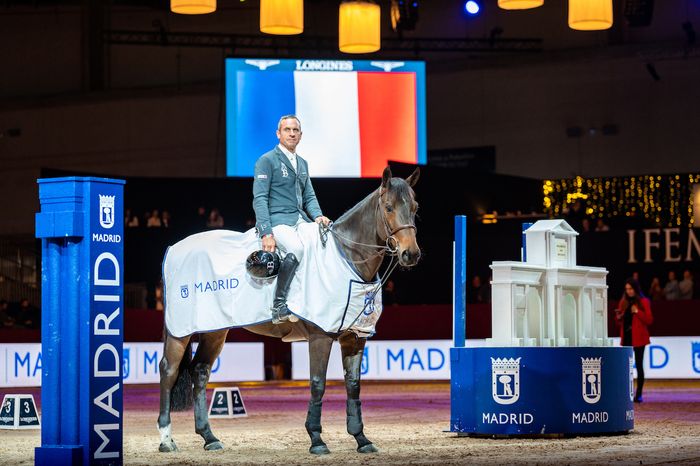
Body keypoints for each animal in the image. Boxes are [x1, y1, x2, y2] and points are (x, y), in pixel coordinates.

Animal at [157, 167, 422, 456]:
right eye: (388, 207)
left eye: (415, 208)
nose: (410, 254)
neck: (346, 258)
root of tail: (173, 249)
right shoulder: (320, 337)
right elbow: (317, 383)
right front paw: (316, 439)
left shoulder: (354, 337)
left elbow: (353, 386)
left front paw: (361, 439)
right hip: (180, 332)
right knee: (169, 371)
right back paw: (166, 439)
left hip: (215, 330)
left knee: (200, 371)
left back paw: (209, 437)